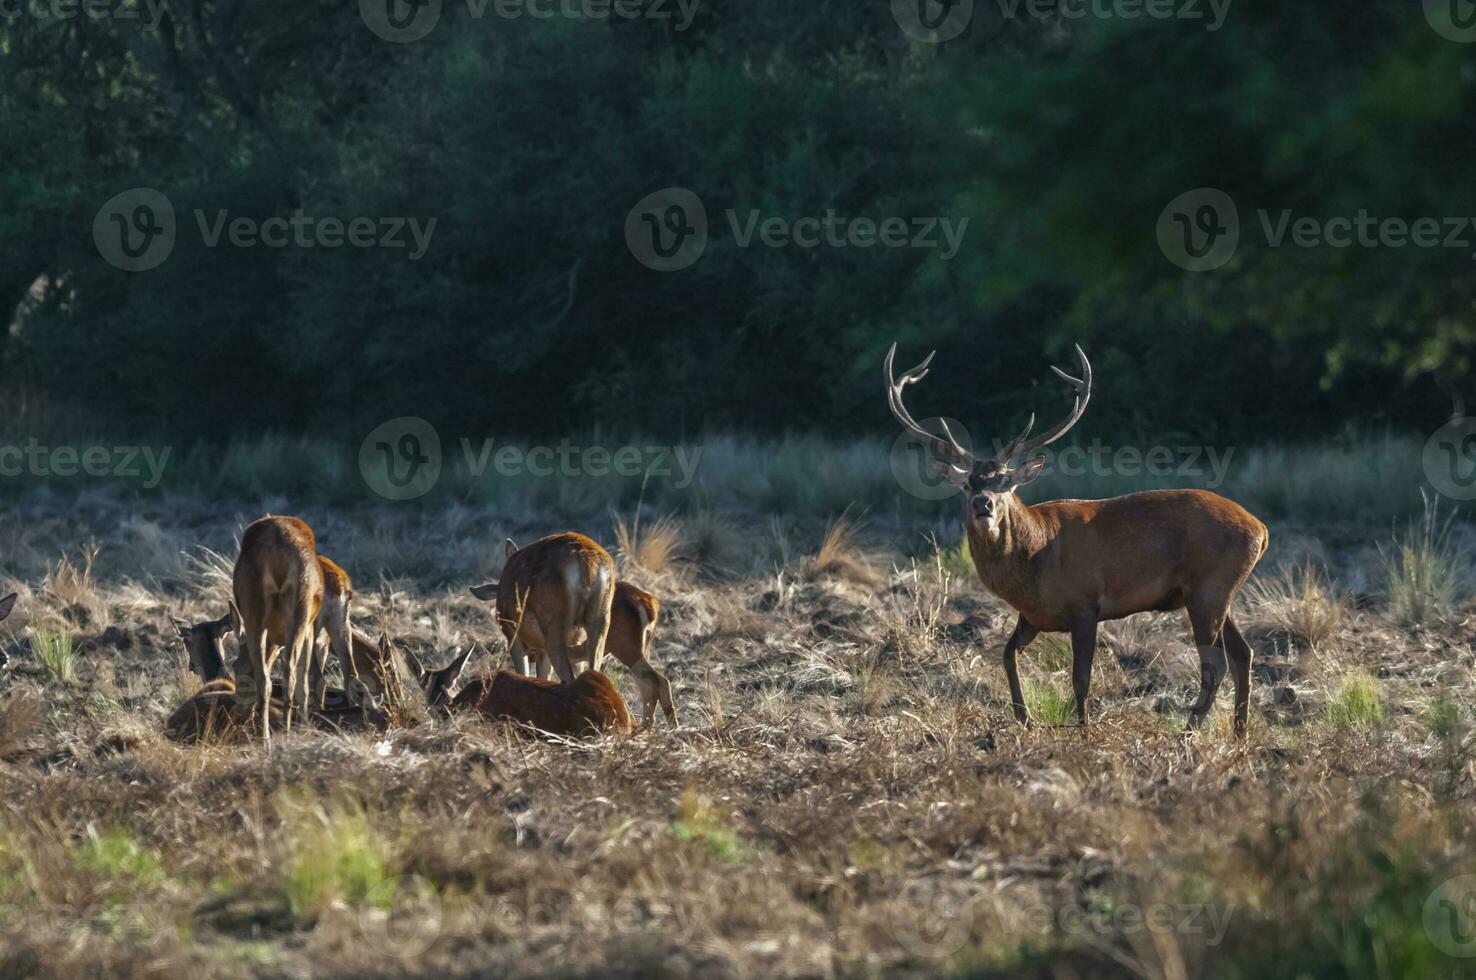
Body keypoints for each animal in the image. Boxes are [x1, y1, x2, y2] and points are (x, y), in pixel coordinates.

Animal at [231, 516, 324, 737]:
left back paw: (264, 736)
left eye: (235, 666)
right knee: (291, 674)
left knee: (265, 679)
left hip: (253, 609)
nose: (238, 715)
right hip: (300, 610)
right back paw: (289, 731)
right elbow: (304, 681)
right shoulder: (310, 627)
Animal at [469, 531, 614, 684]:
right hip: (601, 619)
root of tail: (587, 562)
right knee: (593, 670)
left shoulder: (512, 634)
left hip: (553, 624)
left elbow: (525, 673)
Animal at [885, 343, 1269, 735]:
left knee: (1216, 663)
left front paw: (1083, 731)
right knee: (1243, 654)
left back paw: (1189, 731)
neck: (1034, 561)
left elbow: (1080, 678)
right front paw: (1024, 718)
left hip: (1210, 587)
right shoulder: (1033, 615)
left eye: (1005, 481)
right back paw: (1239, 731)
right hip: (1217, 592)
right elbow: (1007, 655)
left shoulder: (1085, 603)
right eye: (967, 483)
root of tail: (1261, 529)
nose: (983, 504)